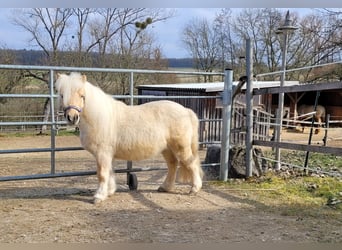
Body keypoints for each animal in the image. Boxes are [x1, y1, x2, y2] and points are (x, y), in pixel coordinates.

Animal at [54, 72, 202, 203]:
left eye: (82, 95)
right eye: (62, 95)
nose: (72, 117)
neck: (100, 117)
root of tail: (185, 111)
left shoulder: (102, 153)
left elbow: (102, 174)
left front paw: (99, 196)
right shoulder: (108, 154)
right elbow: (109, 172)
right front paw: (110, 191)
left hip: (181, 147)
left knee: (191, 163)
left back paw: (194, 189)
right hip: (167, 148)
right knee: (172, 164)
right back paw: (165, 187)